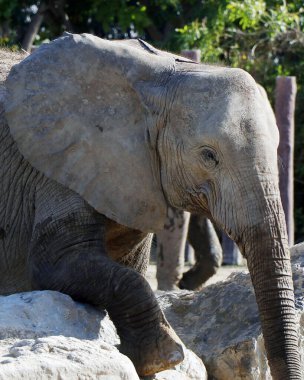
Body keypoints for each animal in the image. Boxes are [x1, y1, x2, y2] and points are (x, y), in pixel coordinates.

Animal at [0, 33, 300, 380]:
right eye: (208, 155)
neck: (161, 76)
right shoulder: (55, 163)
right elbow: (54, 264)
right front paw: (165, 356)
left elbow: (131, 268)